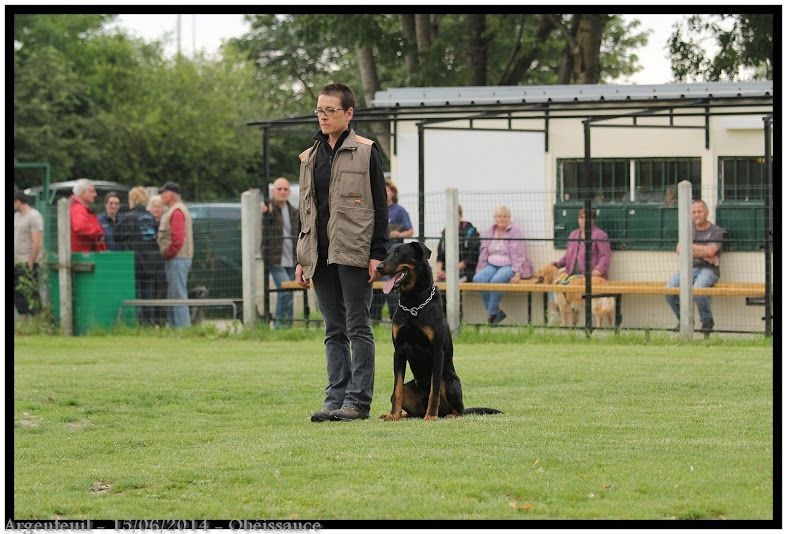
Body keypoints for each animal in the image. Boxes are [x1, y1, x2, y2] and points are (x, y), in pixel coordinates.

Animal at [374, 243, 498, 422]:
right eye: (387, 253)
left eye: (398, 253)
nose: (378, 267)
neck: (413, 301)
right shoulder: (398, 351)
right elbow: (397, 388)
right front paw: (393, 415)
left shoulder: (437, 351)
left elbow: (435, 390)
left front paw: (431, 416)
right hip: (410, 389)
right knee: (408, 406)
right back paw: (402, 414)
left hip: (450, 382)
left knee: (458, 410)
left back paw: (446, 415)